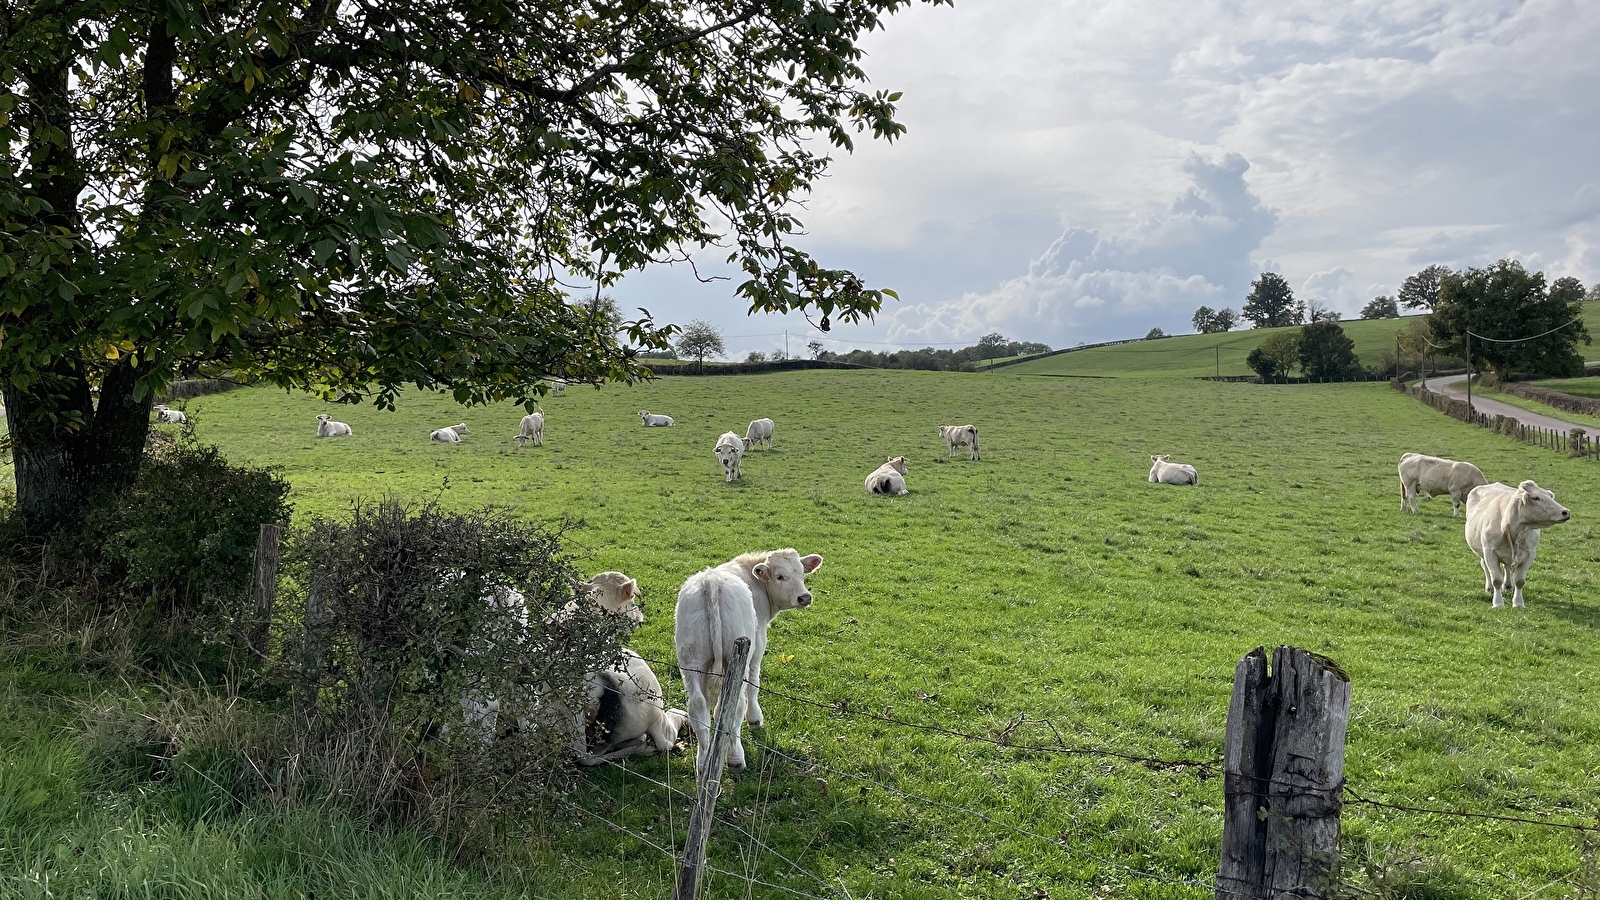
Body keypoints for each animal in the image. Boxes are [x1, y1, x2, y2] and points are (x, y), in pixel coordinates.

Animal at [675, 547, 825, 771]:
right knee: (735, 704)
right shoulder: (758, 643)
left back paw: (702, 762)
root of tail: (711, 580)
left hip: (691, 660)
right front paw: (755, 719)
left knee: (698, 705)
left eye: (801, 572)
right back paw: (735, 757)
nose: (804, 597)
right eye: (780, 576)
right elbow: (754, 684)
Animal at [1465, 477, 1568, 608]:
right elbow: (1496, 579)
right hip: (1481, 551)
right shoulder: (1489, 552)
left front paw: (1518, 603)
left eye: (1549, 496)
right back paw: (1490, 588)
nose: (1565, 512)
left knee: (1507, 567)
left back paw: (1508, 586)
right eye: (1536, 498)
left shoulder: (1529, 554)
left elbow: (1519, 581)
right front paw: (1498, 603)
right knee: (1485, 567)